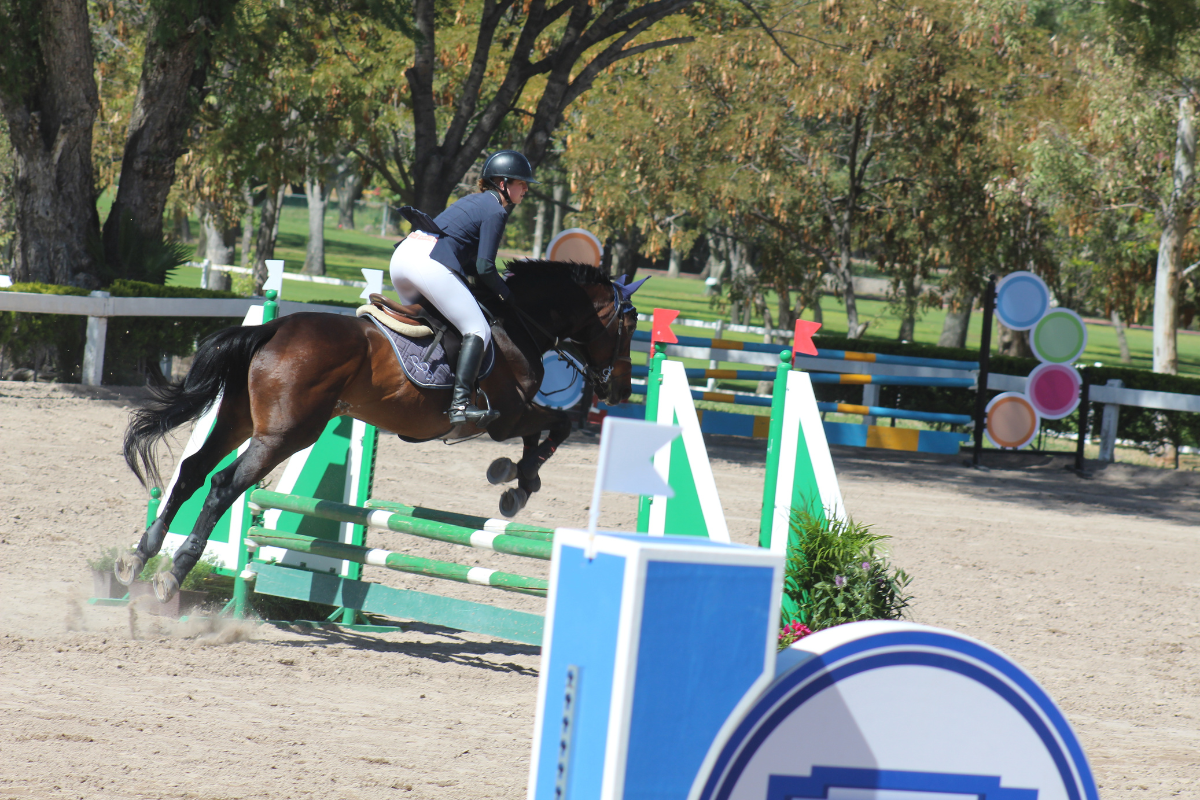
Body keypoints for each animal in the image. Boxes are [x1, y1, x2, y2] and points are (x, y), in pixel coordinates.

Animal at [118, 260, 643, 604]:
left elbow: (547, 431)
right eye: (631, 320)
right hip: (285, 435)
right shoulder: (507, 417)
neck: (521, 323)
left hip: (239, 419)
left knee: (192, 471)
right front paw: (519, 480)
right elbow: (553, 426)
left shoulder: (512, 418)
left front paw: (513, 479)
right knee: (223, 484)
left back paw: (140, 556)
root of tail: (273, 328)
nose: (619, 389)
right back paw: (174, 572)